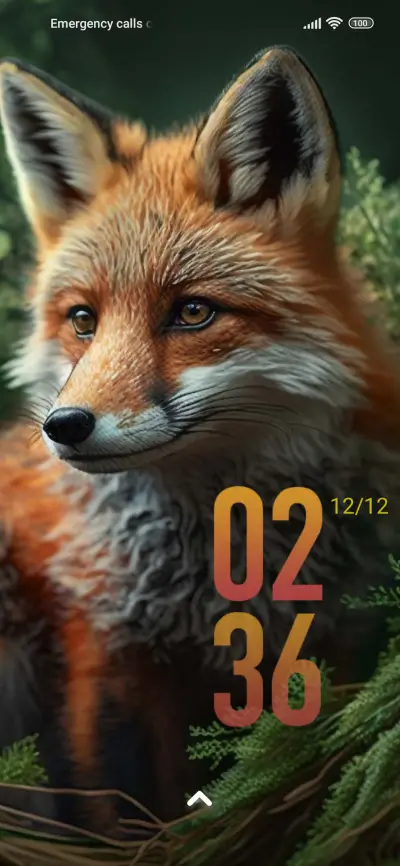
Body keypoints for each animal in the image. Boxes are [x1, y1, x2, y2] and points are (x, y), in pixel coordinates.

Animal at [0, 45, 400, 830]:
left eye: (191, 313)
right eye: (83, 319)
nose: (66, 427)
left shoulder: (333, 638)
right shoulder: (103, 652)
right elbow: (125, 808)